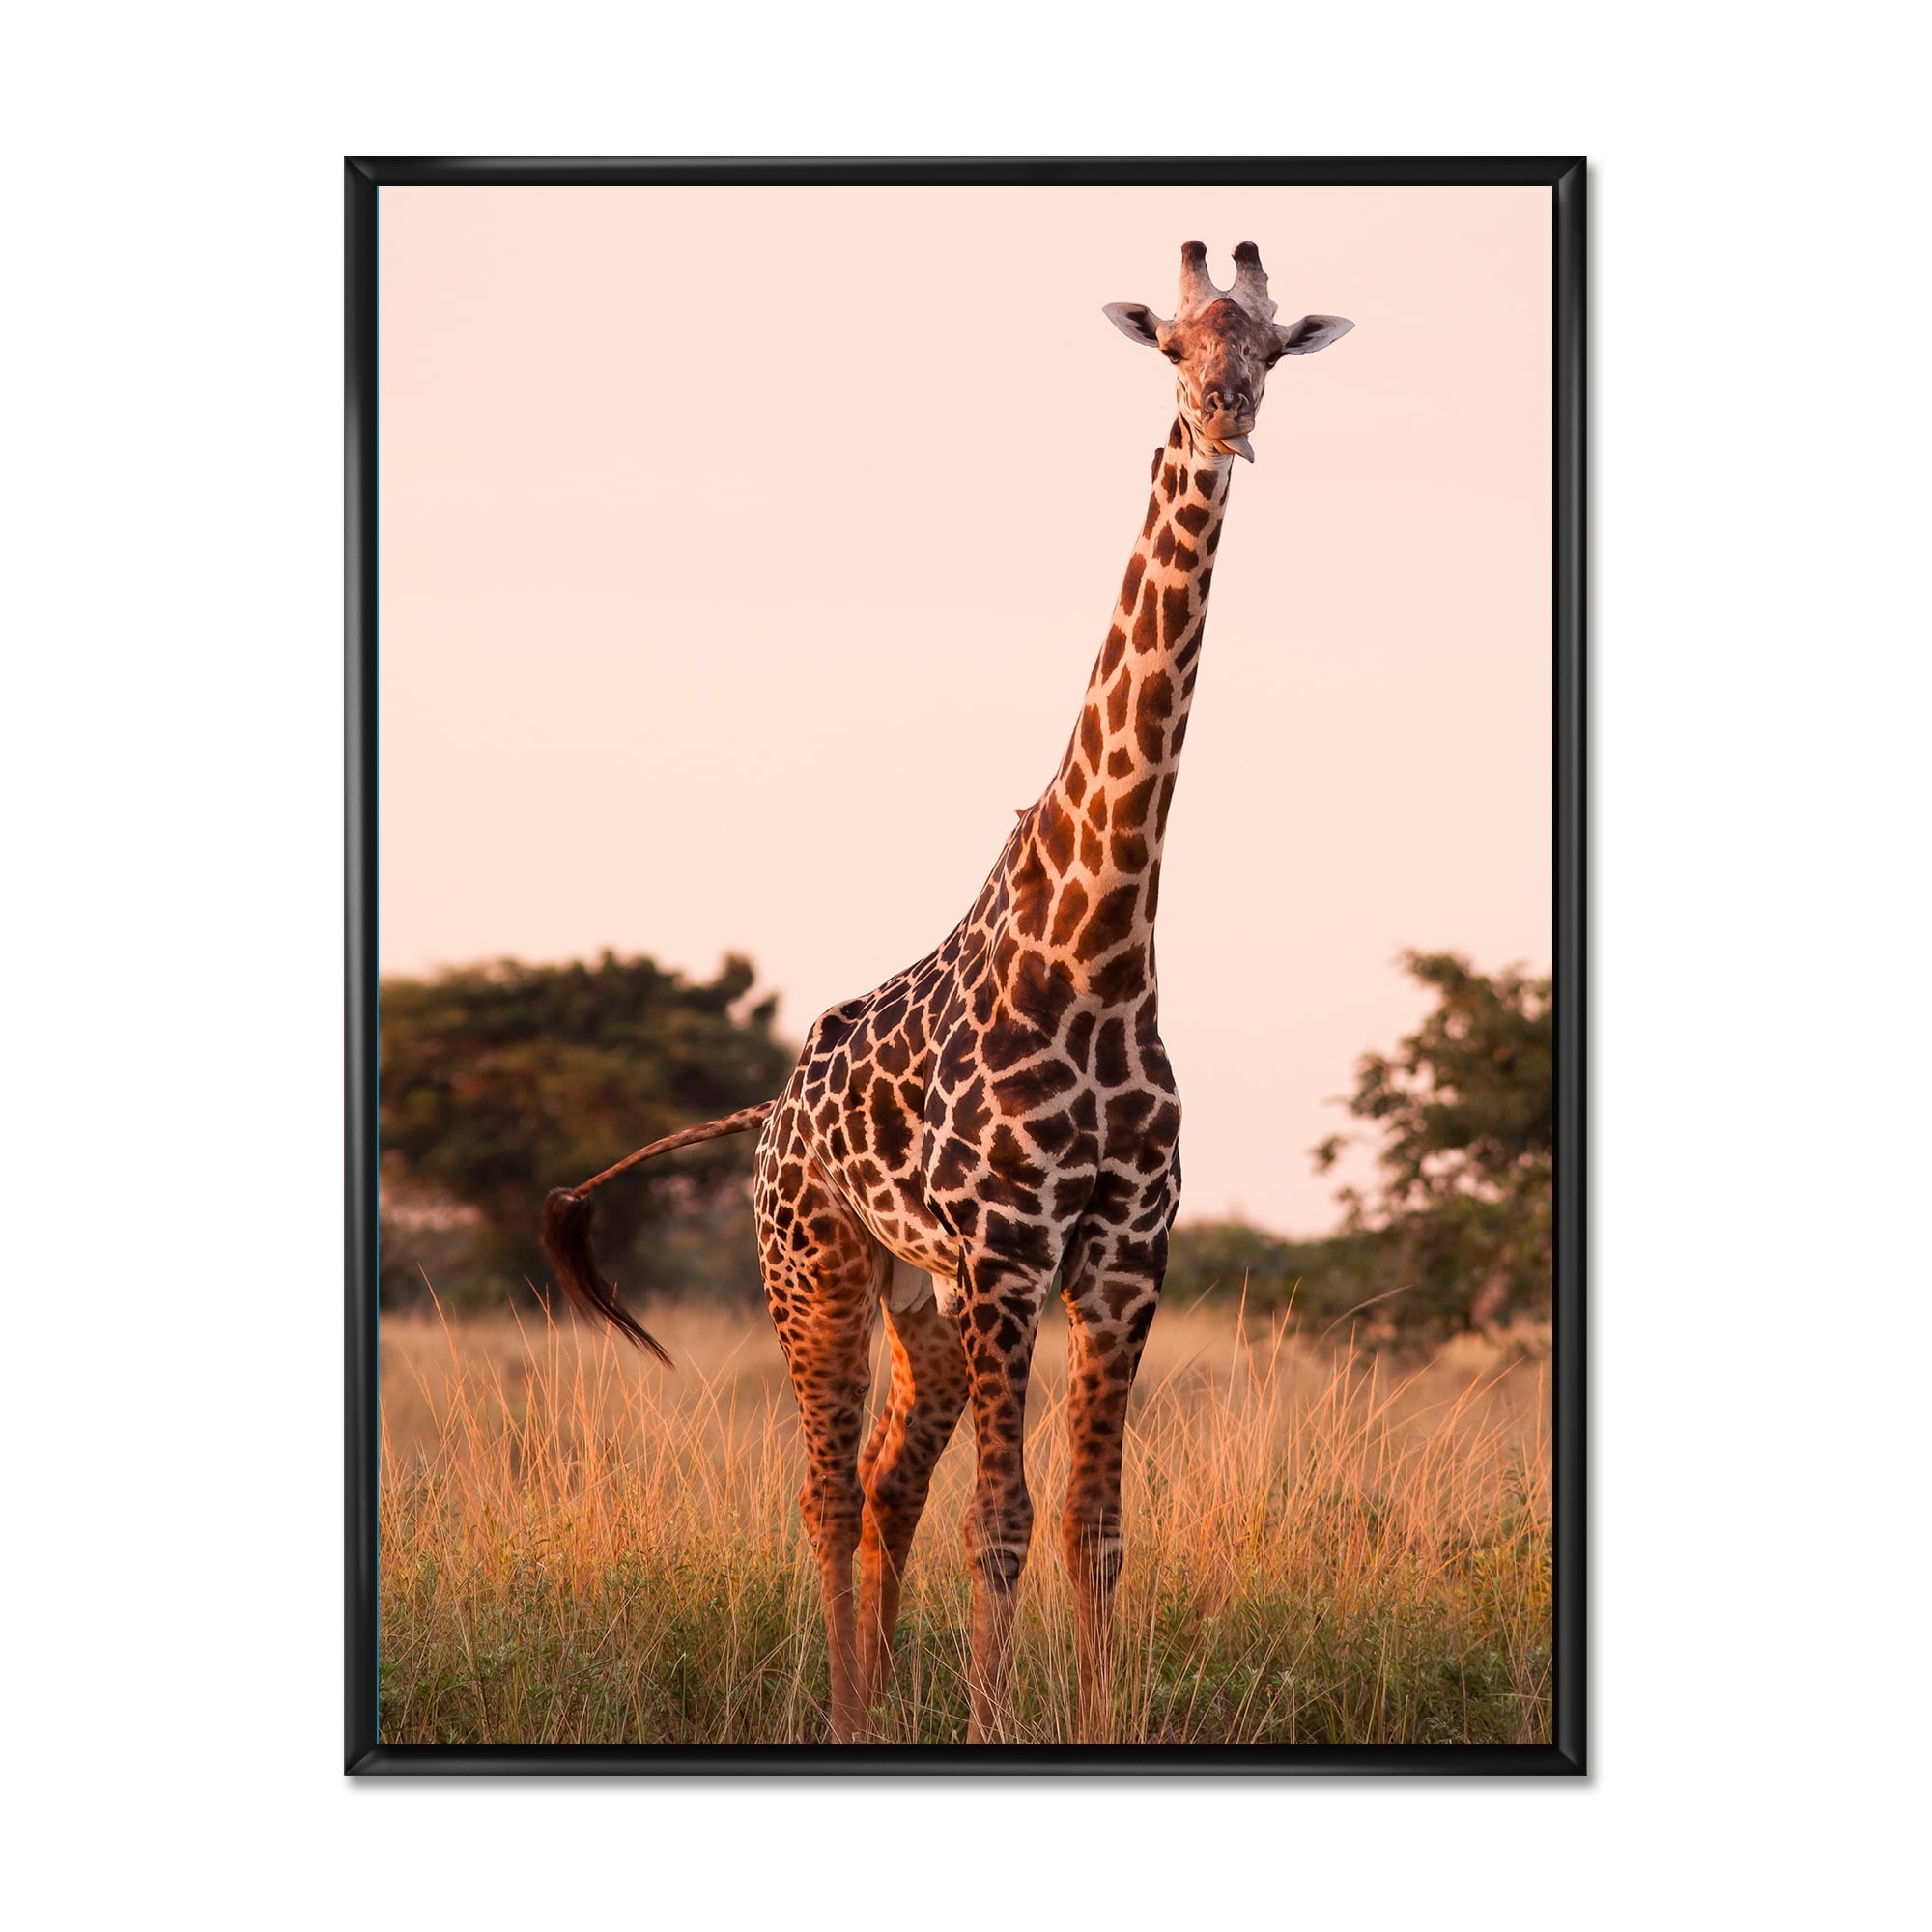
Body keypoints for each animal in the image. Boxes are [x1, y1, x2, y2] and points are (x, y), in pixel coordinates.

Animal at [542, 241, 1352, 1744]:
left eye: (1270, 349)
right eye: (1173, 349)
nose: (1225, 419)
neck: (1098, 950)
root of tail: (768, 1115)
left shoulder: (1122, 1260)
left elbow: (1094, 1523)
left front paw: (1095, 1718)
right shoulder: (1008, 1256)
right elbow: (1006, 1520)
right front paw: (987, 1721)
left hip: (917, 1303)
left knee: (882, 1487)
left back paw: (872, 1701)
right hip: (816, 1270)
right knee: (822, 1489)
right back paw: (845, 1714)